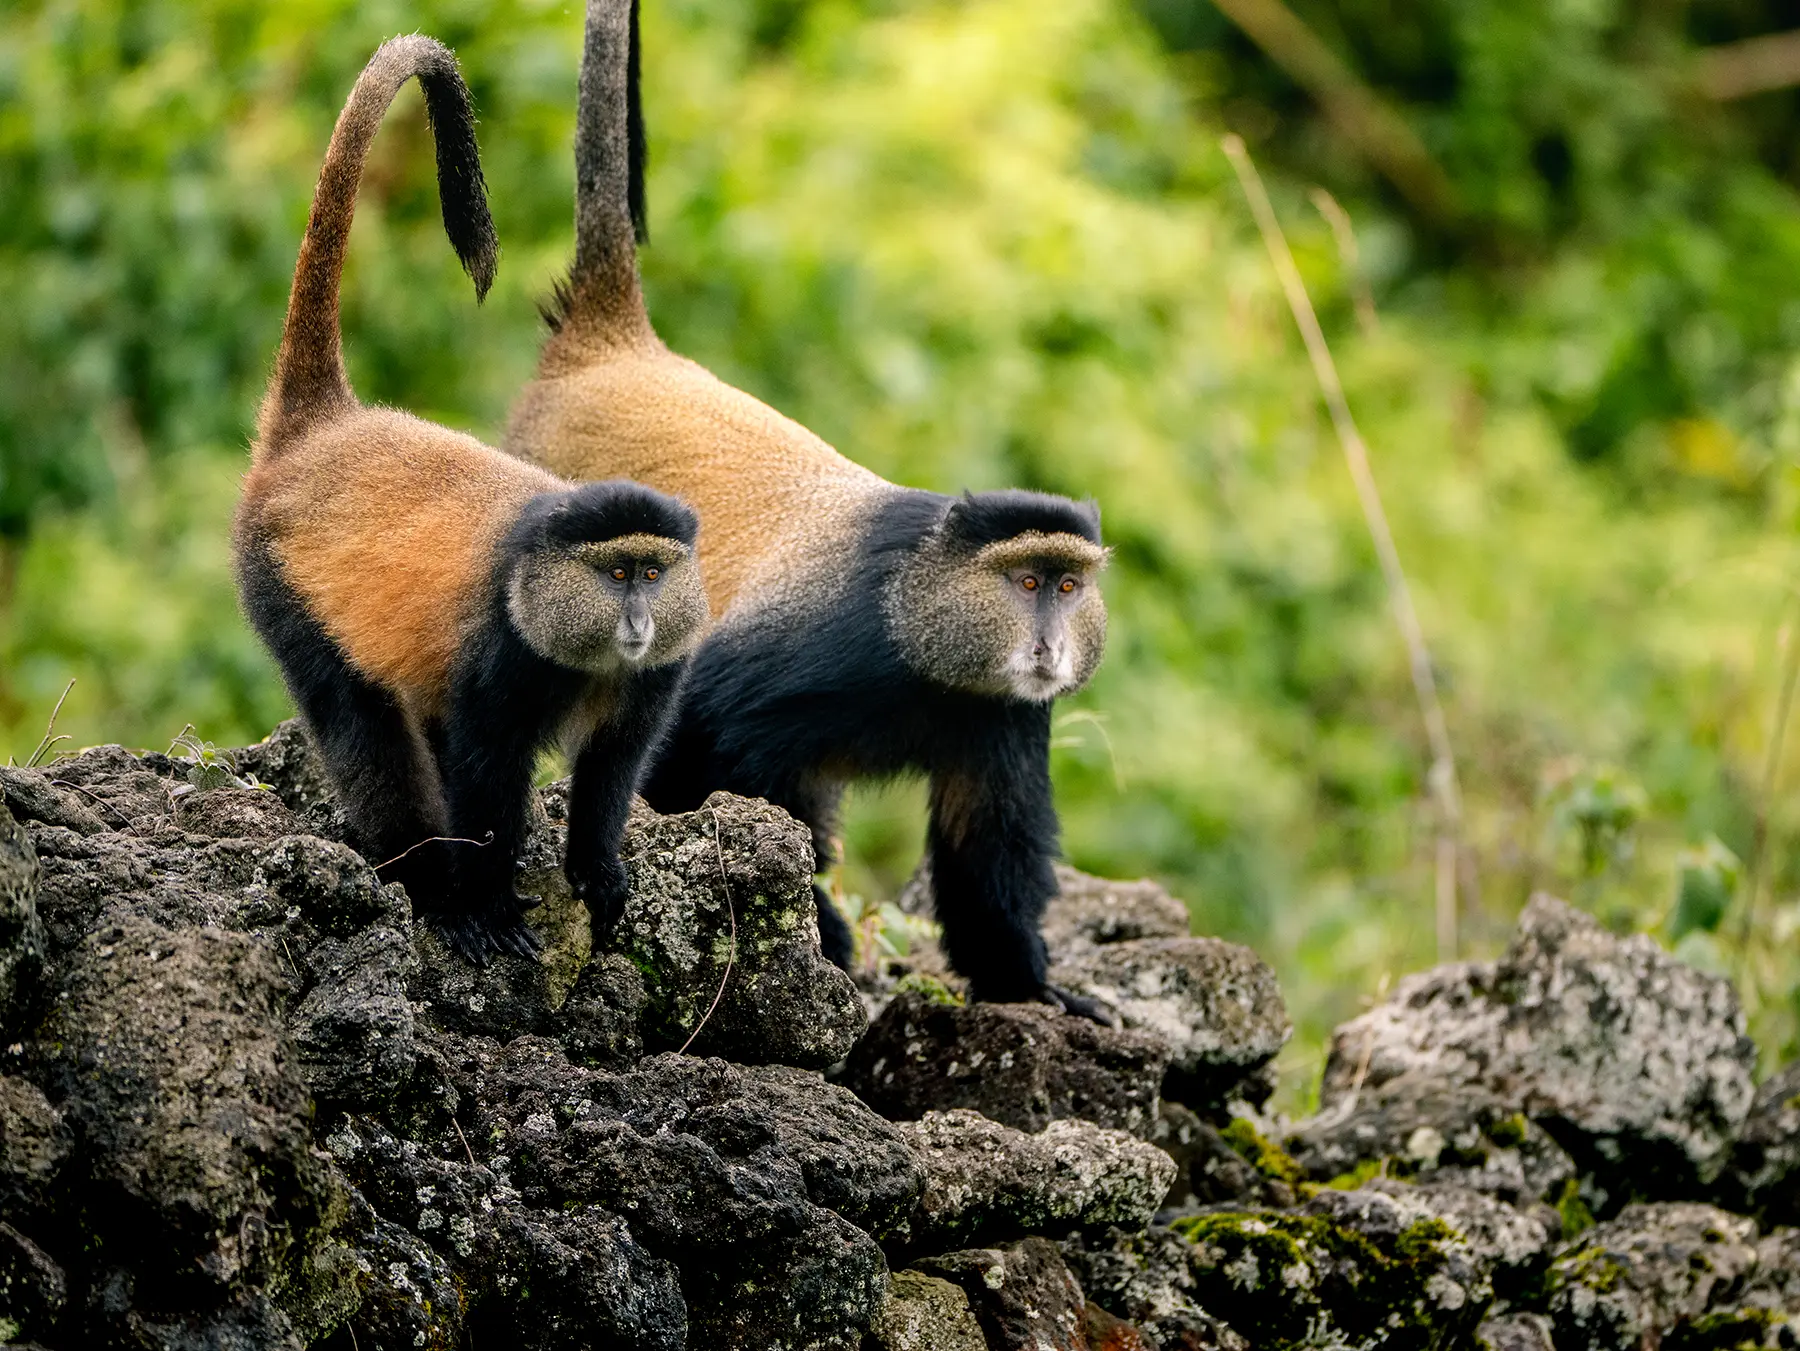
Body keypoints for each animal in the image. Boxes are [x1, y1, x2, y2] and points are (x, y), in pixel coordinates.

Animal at [233, 34, 708, 963]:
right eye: (617, 574)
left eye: (653, 573)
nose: (639, 619)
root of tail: (320, 430)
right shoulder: (499, 659)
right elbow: (483, 773)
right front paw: (484, 906)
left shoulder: (656, 673)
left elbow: (611, 769)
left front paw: (598, 872)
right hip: (278, 585)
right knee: (362, 729)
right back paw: (424, 883)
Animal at [499, 0, 1113, 1018]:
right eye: (1026, 581)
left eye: (1068, 585)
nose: (1049, 641)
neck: (921, 621)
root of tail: (607, 345)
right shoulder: (819, 647)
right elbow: (692, 740)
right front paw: (814, 931)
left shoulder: (1003, 717)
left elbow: (987, 848)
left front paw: (1031, 982)